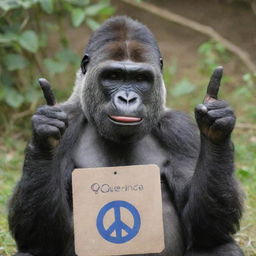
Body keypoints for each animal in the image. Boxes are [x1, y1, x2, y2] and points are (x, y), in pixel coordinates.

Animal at [8, 16, 244, 256]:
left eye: (140, 78)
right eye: (113, 76)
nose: (128, 99)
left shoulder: (180, 133)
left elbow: (203, 228)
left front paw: (216, 128)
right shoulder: (69, 119)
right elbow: (40, 237)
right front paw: (46, 137)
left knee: (221, 247)